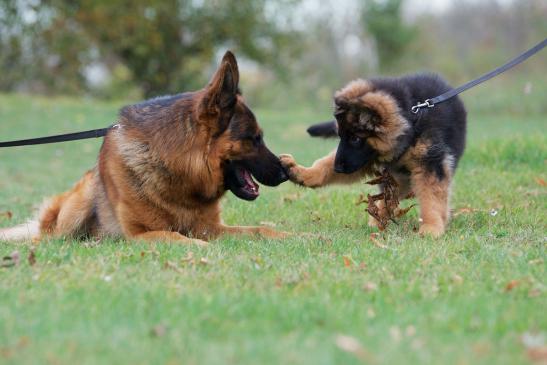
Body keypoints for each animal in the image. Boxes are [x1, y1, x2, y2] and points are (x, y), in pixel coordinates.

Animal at [0, 50, 288, 245]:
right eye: (255, 138)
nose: (286, 172)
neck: (181, 172)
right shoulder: (141, 234)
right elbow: (178, 238)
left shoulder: (211, 228)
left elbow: (260, 229)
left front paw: (293, 235)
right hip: (77, 204)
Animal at [282, 74, 466, 237]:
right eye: (340, 136)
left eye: (355, 138)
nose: (338, 168)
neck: (411, 120)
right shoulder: (364, 159)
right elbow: (325, 164)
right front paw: (303, 173)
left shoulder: (430, 163)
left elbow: (432, 198)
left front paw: (431, 227)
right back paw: (377, 221)